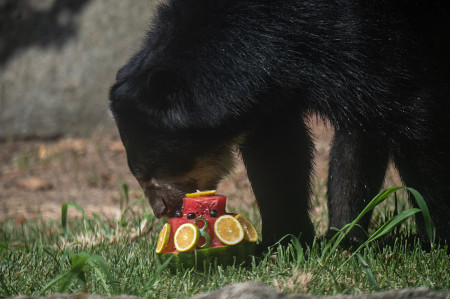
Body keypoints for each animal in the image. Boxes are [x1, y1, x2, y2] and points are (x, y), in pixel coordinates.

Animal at [110, 0, 450, 248]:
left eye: (152, 168)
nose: (162, 209)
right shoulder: (271, 82)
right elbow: (280, 154)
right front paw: (296, 240)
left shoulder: (366, 29)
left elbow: (409, 109)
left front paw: (435, 238)